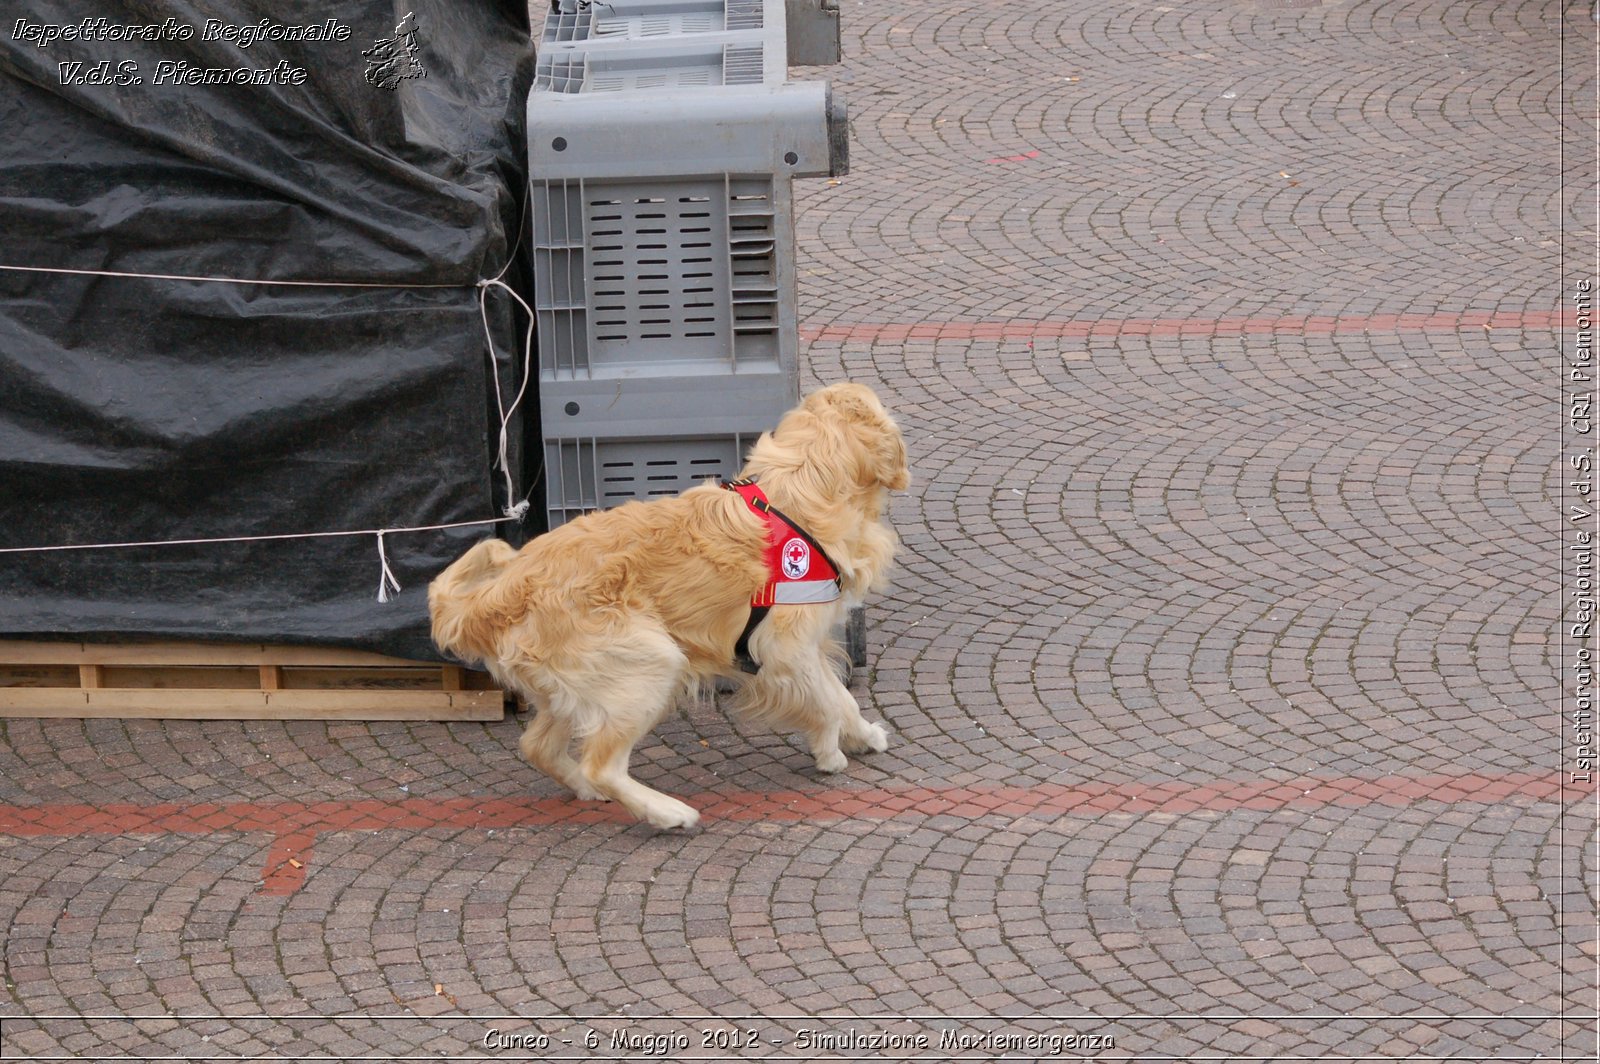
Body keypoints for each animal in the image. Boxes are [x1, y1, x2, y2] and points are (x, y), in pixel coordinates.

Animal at [428, 382, 915, 832]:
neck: (805, 482)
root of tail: (498, 593)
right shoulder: (784, 649)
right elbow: (828, 701)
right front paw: (829, 753)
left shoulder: (805, 646)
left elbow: (840, 697)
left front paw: (863, 734)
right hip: (650, 662)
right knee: (600, 765)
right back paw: (666, 812)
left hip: (575, 689)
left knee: (540, 748)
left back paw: (591, 790)